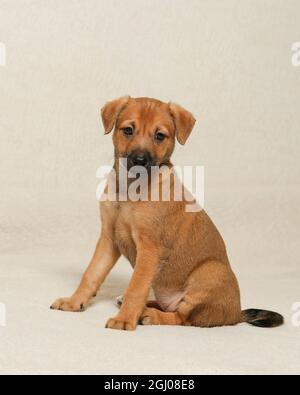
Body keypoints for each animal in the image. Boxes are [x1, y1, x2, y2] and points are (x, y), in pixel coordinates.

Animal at [51, 96, 284, 332]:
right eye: (128, 130)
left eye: (159, 136)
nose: (140, 160)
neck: (130, 191)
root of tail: (236, 313)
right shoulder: (109, 239)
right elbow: (91, 273)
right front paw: (74, 302)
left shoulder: (150, 249)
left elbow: (136, 286)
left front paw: (124, 319)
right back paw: (140, 306)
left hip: (210, 272)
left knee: (182, 318)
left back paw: (149, 315)